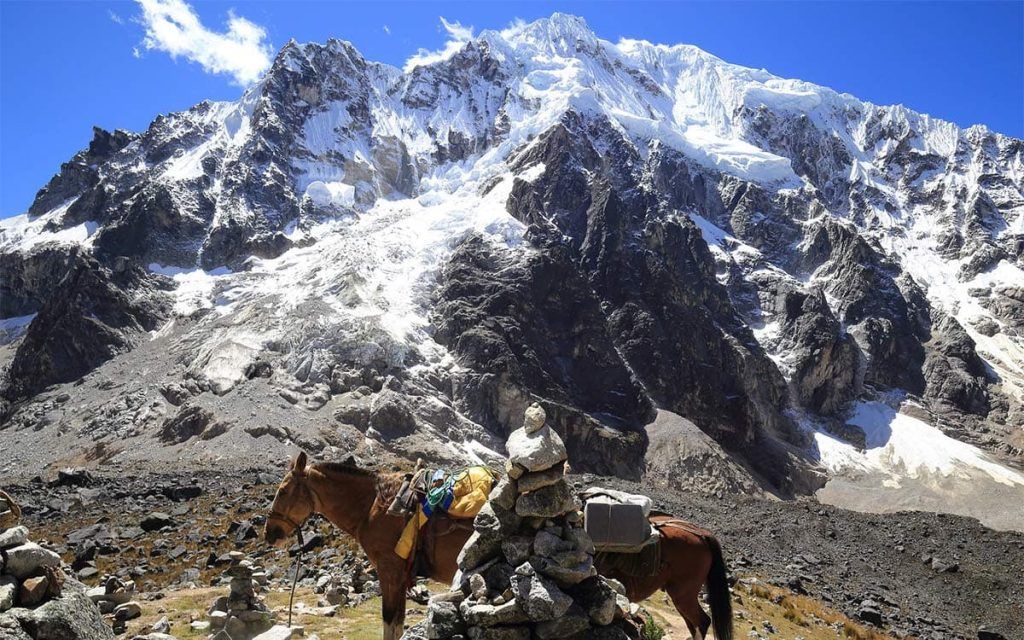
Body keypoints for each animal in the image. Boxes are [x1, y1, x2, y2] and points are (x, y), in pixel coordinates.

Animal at [264, 448, 729, 638]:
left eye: (284, 490)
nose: (271, 533)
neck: (377, 506)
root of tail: (699, 532)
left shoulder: (392, 571)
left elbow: (389, 623)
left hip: (682, 591)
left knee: (701, 623)